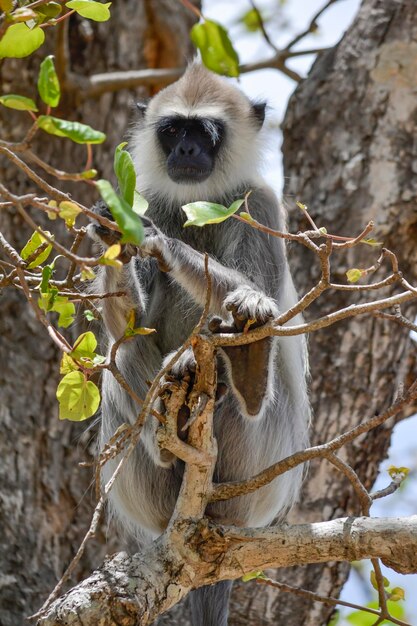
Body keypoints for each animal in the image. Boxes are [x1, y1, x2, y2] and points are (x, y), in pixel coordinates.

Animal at [88, 62, 308, 624]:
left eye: (204, 132)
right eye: (172, 131)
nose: (186, 150)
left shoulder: (259, 205)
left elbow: (259, 295)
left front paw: (161, 244)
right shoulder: (152, 196)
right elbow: (129, 325)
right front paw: (118, 238)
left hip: (260, 458)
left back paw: (245, 369)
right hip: (141, 485)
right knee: (124, 352)